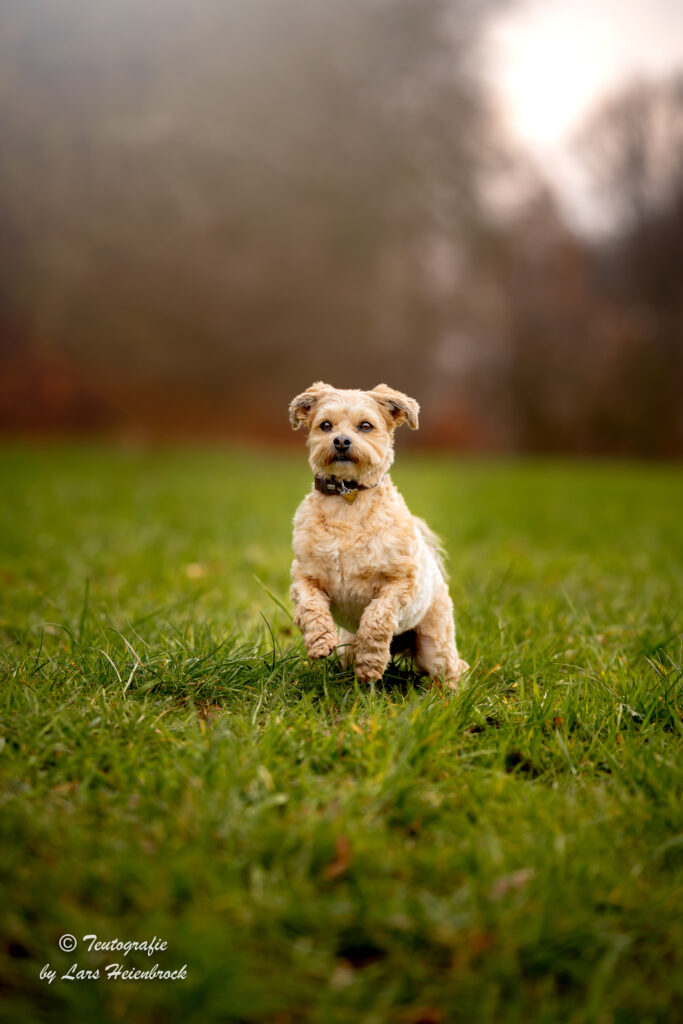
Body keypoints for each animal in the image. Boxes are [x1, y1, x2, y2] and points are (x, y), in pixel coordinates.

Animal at [288, 382, 471, 688]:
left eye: (365, 426)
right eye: (325, 425)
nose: (341, 441)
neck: (347, 498)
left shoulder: (400, 583)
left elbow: (377, 618)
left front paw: (370, 665)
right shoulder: (305, 574)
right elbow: (310, 605)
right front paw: (319, 640)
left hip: (434, 646)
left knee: (451, 668)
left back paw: (446, 695)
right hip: (347, 647)